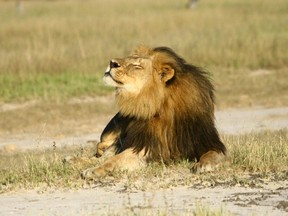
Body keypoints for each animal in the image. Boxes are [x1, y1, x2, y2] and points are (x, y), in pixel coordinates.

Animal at [80, 46, 225, 179]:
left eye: (137, 66)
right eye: (129, 58)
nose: (112, 63)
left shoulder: (207, 142)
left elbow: (213, 153)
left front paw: (203, 165)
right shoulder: (146, 146)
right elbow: (116, 159)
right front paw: (93, 170)